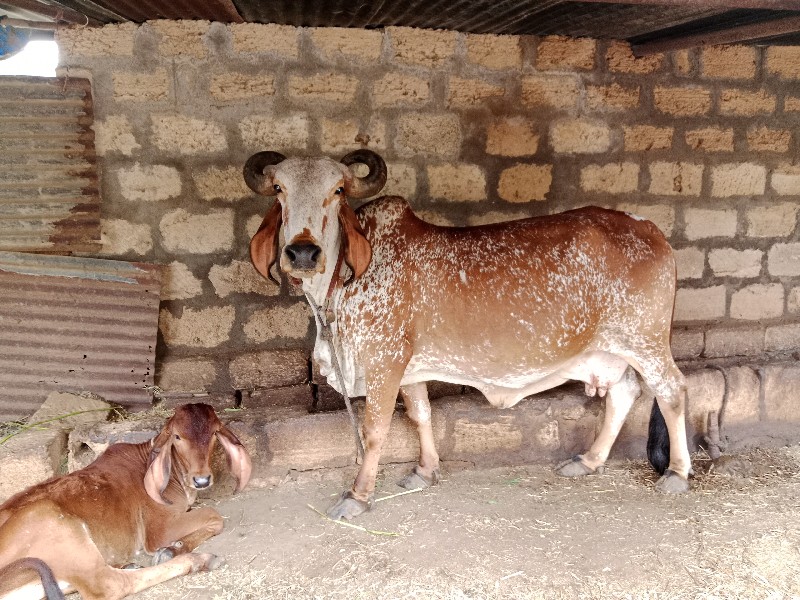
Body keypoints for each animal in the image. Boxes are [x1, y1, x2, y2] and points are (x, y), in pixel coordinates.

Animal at [0, 404, 250, 600]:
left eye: (214, 433)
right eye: (177, 437)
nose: (202, 480)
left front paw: (174, 548)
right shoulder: (159, 529)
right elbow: (214, 516)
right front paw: (172, 549)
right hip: (55, 525)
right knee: (111, 585)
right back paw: (199, 560)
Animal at [242, 149, 688, 520]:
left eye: (337, 191)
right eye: (279, 189)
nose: (302, 253)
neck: (339, 283)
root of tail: (650, 229)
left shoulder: (384, 360)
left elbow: (375, 431)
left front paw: (357, 495)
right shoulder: (410, 366)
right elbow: (421, 415)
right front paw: (425, 471)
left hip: (646, 341)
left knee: (671, 391)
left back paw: (677, 473)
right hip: (613, 350)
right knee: (624, 392)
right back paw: (589, 460)